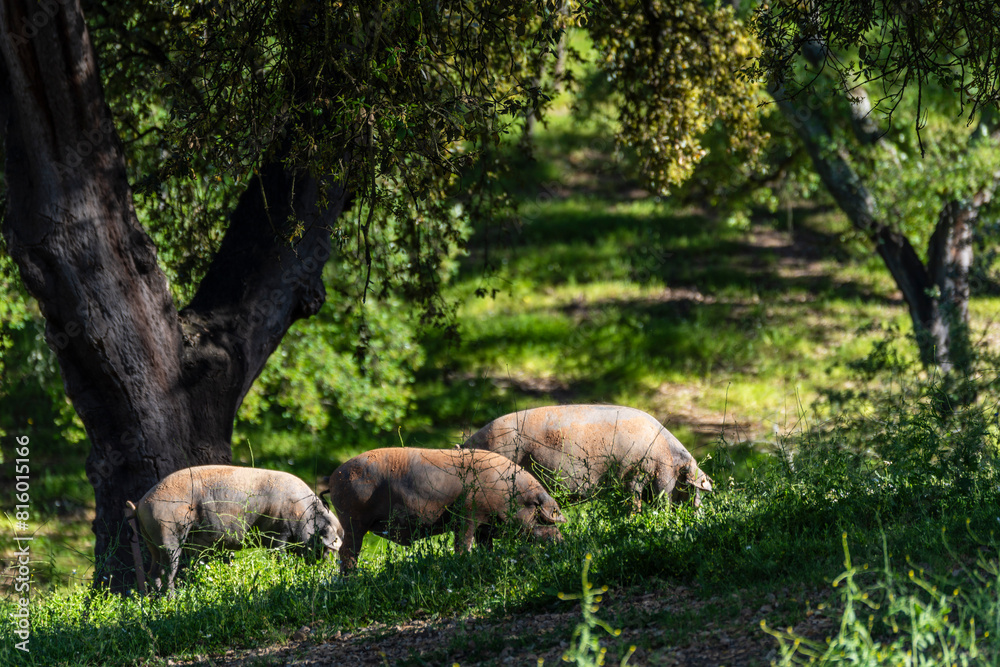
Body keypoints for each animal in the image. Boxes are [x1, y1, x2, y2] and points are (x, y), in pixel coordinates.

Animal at [125, 465, 343, 592]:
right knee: (169, 571)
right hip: (168, 534)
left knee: (154, 573)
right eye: (329, 549)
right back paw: (173, 599)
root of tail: (140, 503)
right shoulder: (276, 533)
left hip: (151, 540)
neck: (304, 514)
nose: (332, 570)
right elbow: (280, 557)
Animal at [324, 448, 566, 570]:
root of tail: (333, 476)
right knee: (347, 552)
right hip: (353, 521)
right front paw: (463, 561)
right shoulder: (468, 514)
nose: (561, 540)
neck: (507, 493)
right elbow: (463, 543)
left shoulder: (484, 527)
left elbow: (485, 546)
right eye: (541, 517)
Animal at [461, 404, 713, 509]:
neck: (670, 459)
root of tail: (463, 446)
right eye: (693, 489)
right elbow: (645, 503)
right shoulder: (640, 473)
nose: (700, 515)